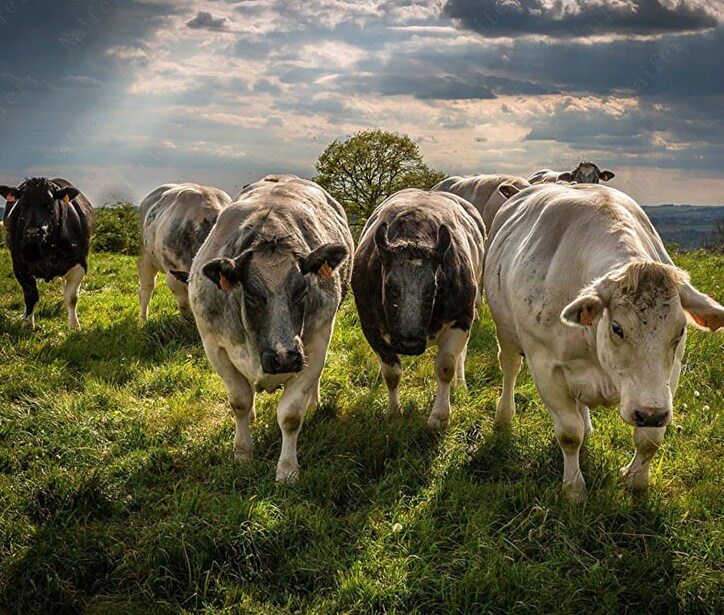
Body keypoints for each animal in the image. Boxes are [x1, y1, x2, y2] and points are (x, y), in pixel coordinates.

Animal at [0, 178, 93, 330]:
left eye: (50, 204)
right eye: (23, 204)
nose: (33, 232)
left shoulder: (80, 263)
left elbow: (72, 298)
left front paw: (74, 326)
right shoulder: (19, 264)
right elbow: (30, 295)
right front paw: (27, 324)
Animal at [187, 174, 353, 481]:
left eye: (302, 291)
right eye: (252, 294)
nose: (284, 356)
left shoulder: (314, 345)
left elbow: (290, 415)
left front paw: (287, 469)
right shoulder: (214, 345)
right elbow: (239, 401)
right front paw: (242, 453)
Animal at [352, 188, 485, 429]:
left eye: (434, 288)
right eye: (389, 287)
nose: (409, 343)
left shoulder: (462, 317)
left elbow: (446, 366)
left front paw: (440, 415)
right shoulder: (369, 324)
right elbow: (391, 371)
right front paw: (393, 410)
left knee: (461, 356)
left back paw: (461, 385)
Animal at [484, 183, 724, 500]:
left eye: (681, 330)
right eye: (617, 327)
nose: (650, 413)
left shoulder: (667, 376)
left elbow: (649, 439)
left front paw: (636, 481)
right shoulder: (545, 366)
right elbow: (569, 434)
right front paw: (574, 489)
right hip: (506, 332)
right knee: (510, 367)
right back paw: (504, 416)